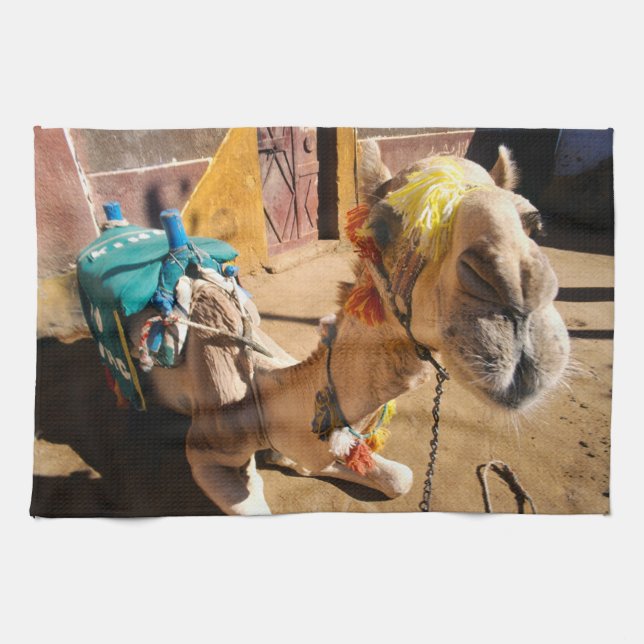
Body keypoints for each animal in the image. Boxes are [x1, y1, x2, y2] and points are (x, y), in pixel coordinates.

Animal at [124, 141, 570, 515]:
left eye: (534, 224)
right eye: (382, 227)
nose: (517, 296)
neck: (266, 398)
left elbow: (400, 477)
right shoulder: (208, 449)